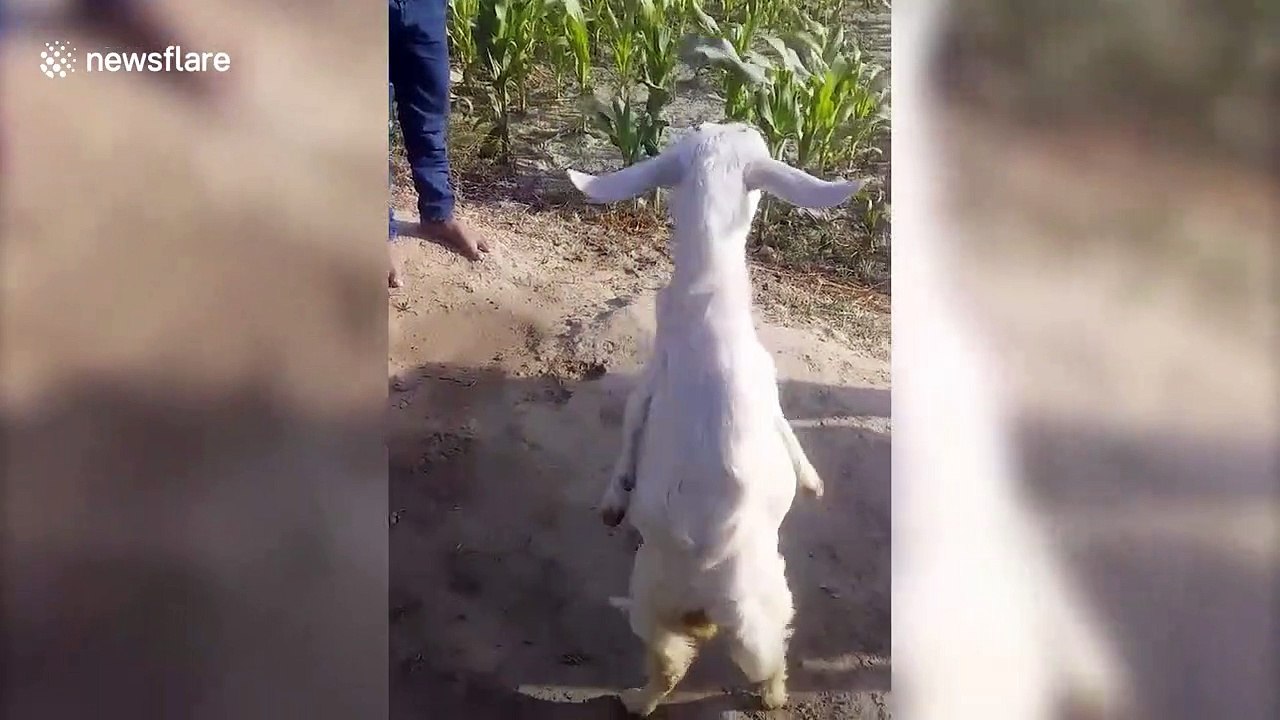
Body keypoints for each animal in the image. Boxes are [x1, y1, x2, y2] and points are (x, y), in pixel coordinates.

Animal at [566, 123, 863, 716]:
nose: (740, 124)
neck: (709, 285)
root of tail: (706, 579)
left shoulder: (650, 382)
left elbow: (630, 430)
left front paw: (612, 502)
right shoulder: (762, 384)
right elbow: (785, 427)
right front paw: (812, 479)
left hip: (650, 598)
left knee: (669, 662)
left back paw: (634, 699)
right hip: (762, 609)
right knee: (761, 665)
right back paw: (770, 696)